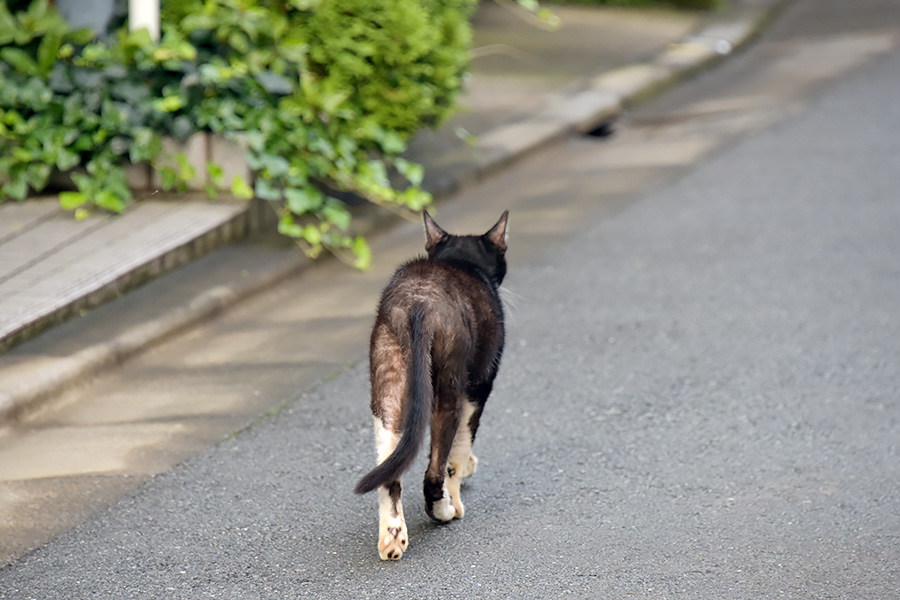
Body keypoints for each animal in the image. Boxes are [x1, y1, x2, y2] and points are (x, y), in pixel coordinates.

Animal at [356, 209, 510, 560]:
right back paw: (443, 511)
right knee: (434, 470)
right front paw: (460, 483)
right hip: (449, 387)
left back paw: (393, 538)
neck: (461, 261)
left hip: (388, 383)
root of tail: (418, 303)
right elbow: (459, 450)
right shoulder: (479, 386)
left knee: (389, 468)